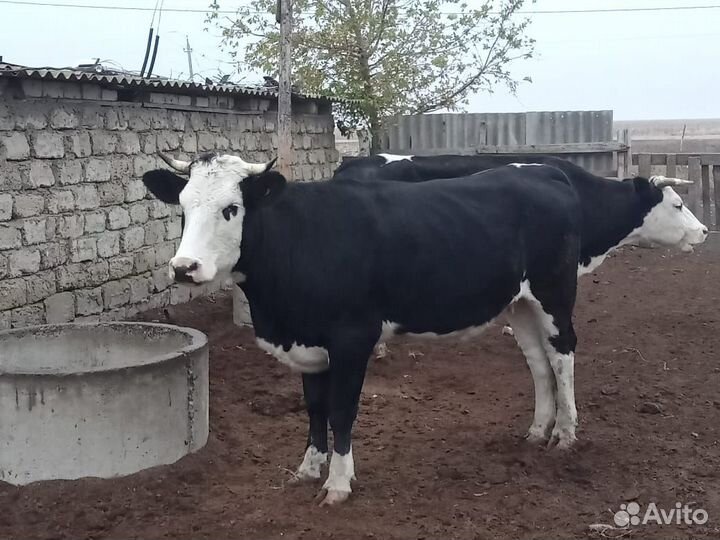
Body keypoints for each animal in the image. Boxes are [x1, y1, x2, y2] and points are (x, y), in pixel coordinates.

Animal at [143, 152, 583, 506]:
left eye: (231, 208)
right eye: (183, 207)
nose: (184, 268)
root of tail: (542, 171)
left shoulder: (352, 338)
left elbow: (342, 410)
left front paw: (338, 484)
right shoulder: (309, 343)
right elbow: (315, 408)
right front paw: (308, 469)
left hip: (554, 292)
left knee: (562, 353)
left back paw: (564, 435)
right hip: (519, 302)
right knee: (537, 361)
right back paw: (537, 432)